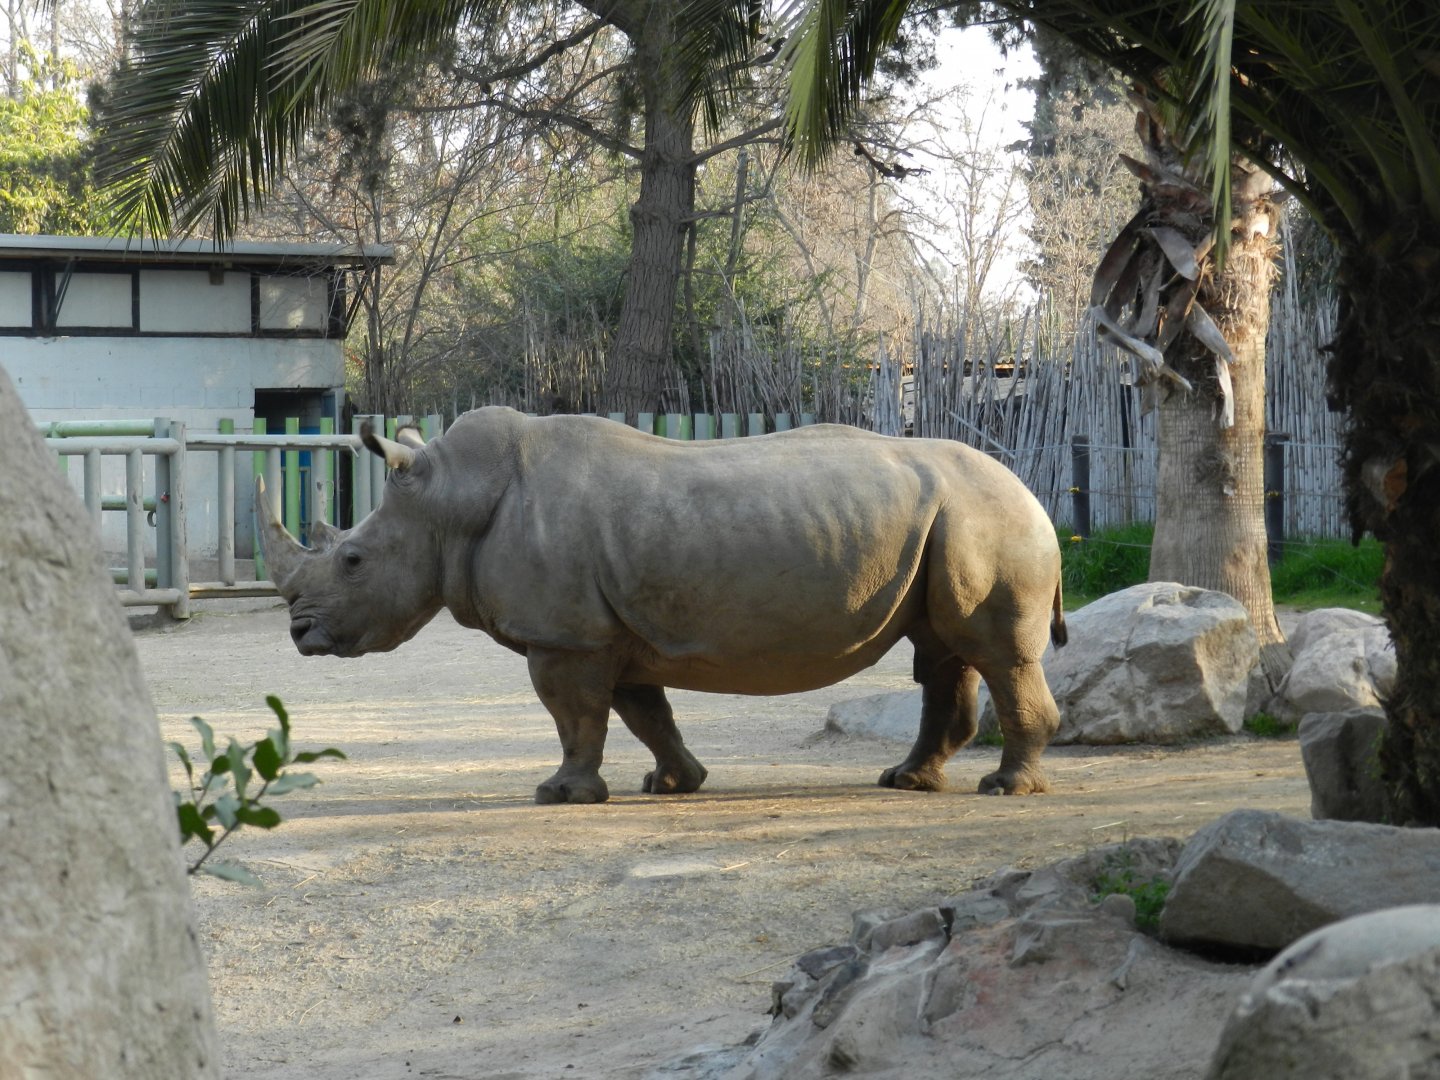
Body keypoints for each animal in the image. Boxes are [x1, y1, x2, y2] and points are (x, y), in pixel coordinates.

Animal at [259, 406, 1067, 804]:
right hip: (955, 521)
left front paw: (560, 794)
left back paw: (1005, 790)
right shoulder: (607, 629)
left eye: (353, 562)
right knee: (943, 653)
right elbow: (642, 712)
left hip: (989, 519)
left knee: (995, 653)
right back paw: (908, 783)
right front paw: (673, 784)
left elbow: (576, 715)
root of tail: (1033, 491)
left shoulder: (567, 635)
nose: (299, 633)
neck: (451, 502)